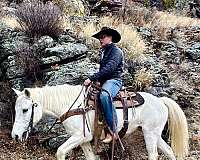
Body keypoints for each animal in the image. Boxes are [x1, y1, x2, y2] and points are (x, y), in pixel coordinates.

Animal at [11, 84, 189, 159]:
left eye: (25, 110)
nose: (15, 136)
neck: (73, 105)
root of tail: (161, 101)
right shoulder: (83, 140)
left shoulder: (80, 136)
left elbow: (60, 151)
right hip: (155, 134)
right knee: (169, 151)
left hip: (150, 134)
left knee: (153, 154)